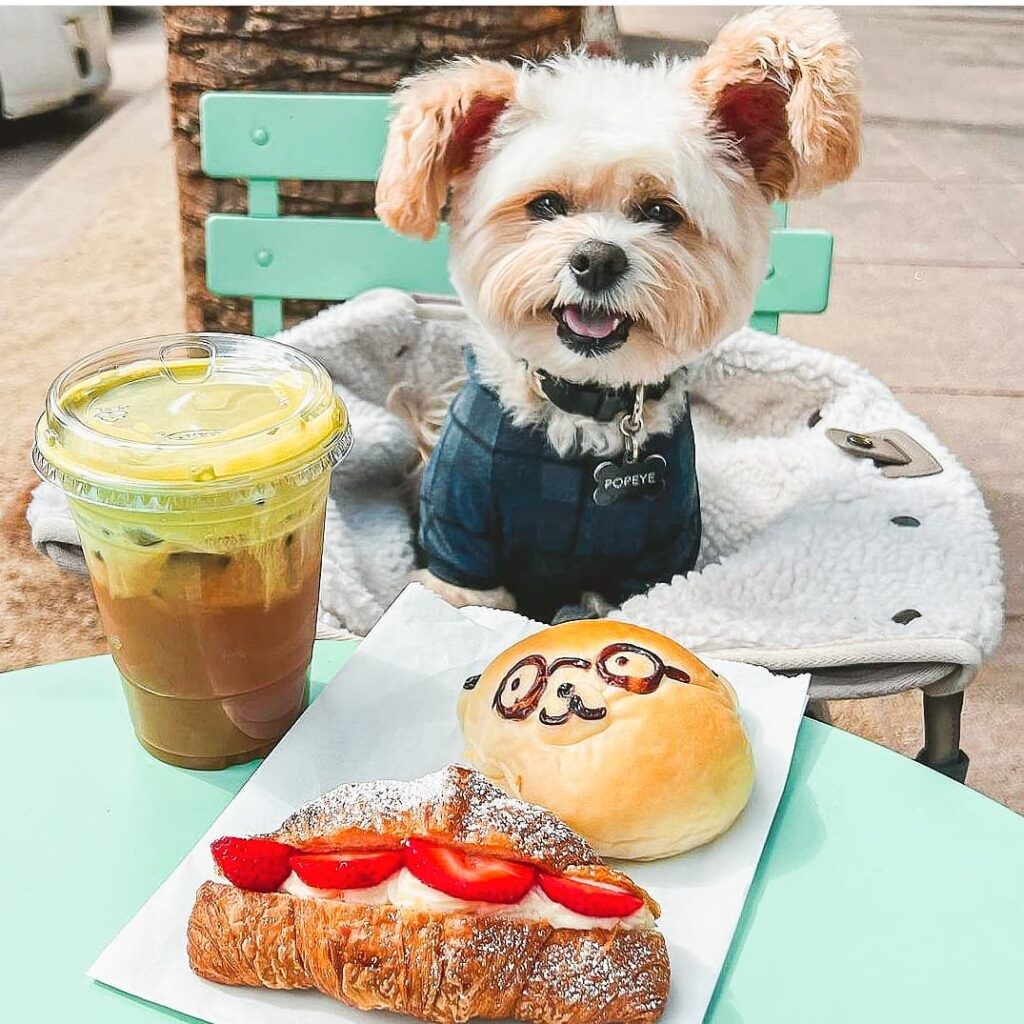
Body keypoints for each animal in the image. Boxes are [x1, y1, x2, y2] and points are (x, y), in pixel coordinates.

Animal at [372, 6, 860, 622]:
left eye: (661, 212)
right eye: (546, 205)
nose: (597, 260)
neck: (584, 404)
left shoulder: (654, 557)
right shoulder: (459, 535)